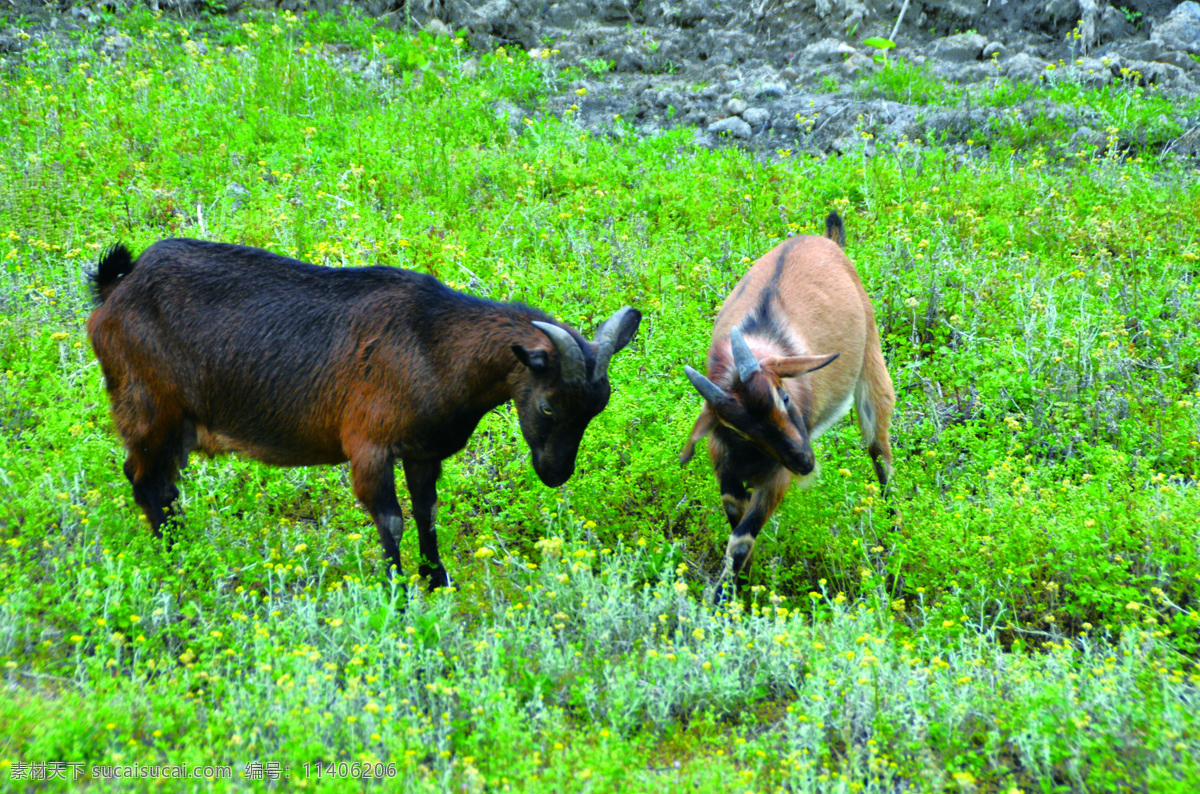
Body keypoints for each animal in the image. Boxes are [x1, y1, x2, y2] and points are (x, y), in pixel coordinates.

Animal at [87, 239, 643, 587]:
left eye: (598, 408)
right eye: (549, 404)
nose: (555, 473)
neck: (434, 346)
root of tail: (115, 289)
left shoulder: (423, 452)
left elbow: (426, 512)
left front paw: (436, 580)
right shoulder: (368, 445)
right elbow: (390, 520)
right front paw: (396, 592)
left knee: (163, 486)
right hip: (150, 405)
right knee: (144, 480)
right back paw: (180, 562)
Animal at [681, 214, 897, 599]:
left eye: (783, 396)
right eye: (739, 429)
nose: (804, 463)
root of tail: (826, 241)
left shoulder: (777, 476)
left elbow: (740, 539)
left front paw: (725, 599)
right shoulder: (725, 465)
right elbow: (739, 530)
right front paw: (741, 590)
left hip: (872, 372)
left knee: (880, 453)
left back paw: (894, 534)